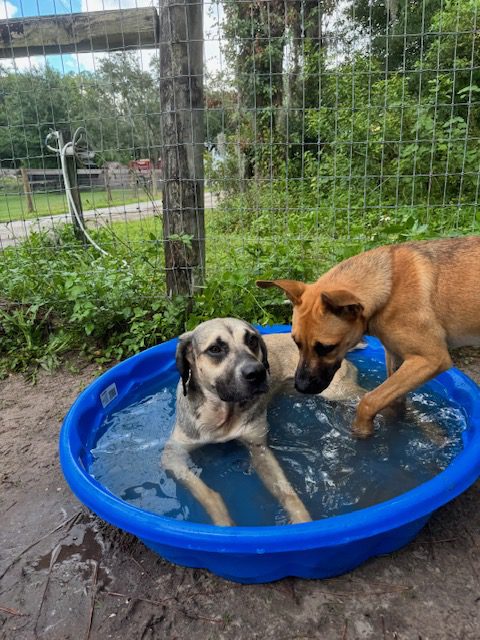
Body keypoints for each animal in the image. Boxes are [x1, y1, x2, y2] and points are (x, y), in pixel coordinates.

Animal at [161, 318, 364, 524]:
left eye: (252, 340)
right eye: (215, 349)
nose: (257, 372)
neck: (225, 413)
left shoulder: (259, 448)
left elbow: (287, 492)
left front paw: (302, 520)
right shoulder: (172, 456)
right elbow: (206, 493)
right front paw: (224, 523)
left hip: (338, 391)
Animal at [256, 235, 480, 440]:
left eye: (326, 347)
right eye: (296, 342)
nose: (300, 387)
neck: (390, 289)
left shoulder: (430, 359)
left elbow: (369, 400)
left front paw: (362, 432)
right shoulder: (395, 356)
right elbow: (395, 401)